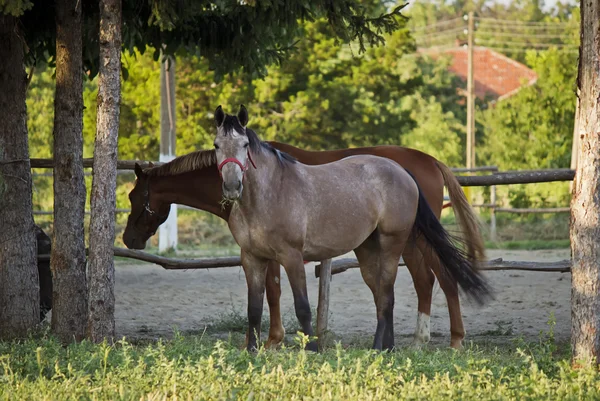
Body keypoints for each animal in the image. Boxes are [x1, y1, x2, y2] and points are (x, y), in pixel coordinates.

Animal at [123, 121, 488, 346]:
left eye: (134, 197)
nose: (129, 240)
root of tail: (428, 161)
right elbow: (269, 293)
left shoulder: (278, 253)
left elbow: (273, 291)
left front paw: (272, 340)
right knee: (424, 282)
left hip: (412, 240)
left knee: (438, 279)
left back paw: (446, 339)